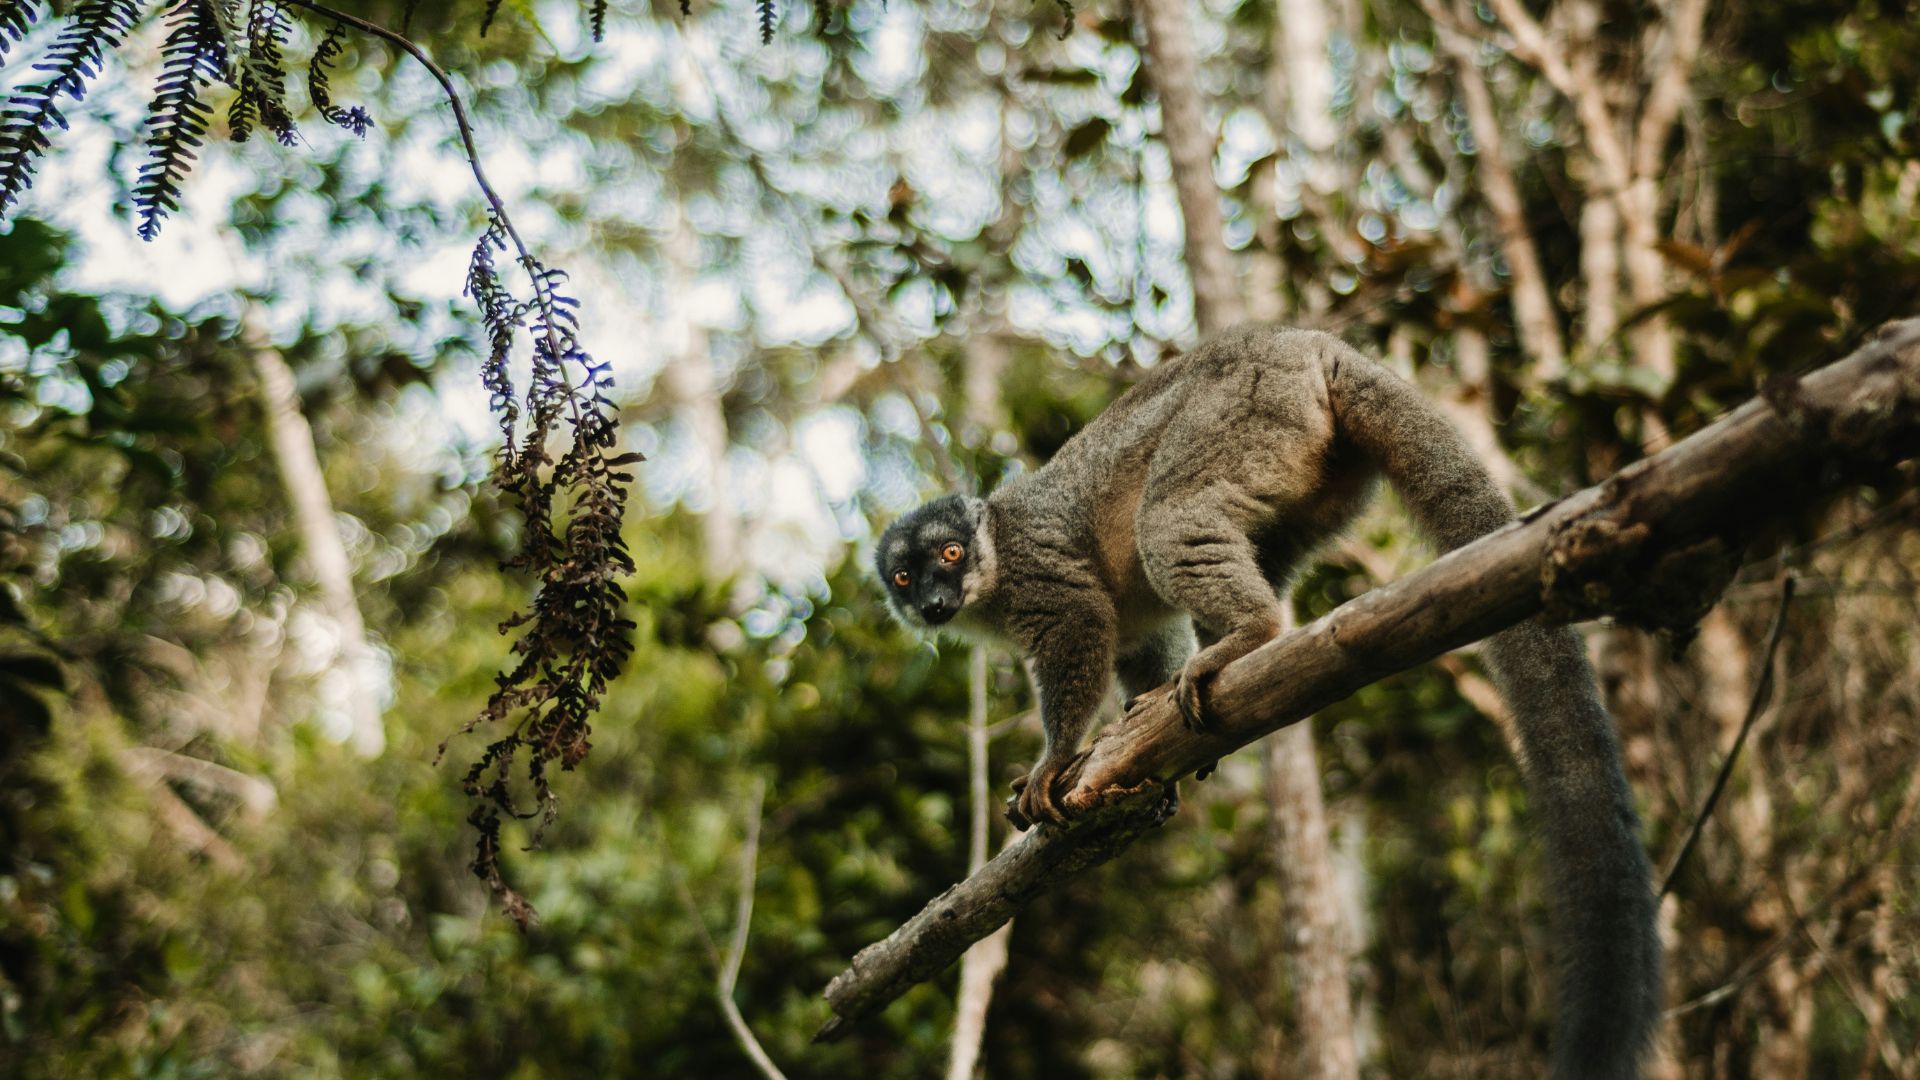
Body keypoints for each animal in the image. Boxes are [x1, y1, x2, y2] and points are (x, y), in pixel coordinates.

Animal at [875, 325, 1660, 1079]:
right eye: (905, 577)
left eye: (949, 555)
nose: (935, 602)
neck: (994, 569)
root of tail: (1309, 345)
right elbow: (1138, 639)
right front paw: (1144, 743)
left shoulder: (1039, 574)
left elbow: (1083, 624)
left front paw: (1056, 762)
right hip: (1320, 474)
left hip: (1243, 418)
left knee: (1168, 519)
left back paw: (1251, 633)